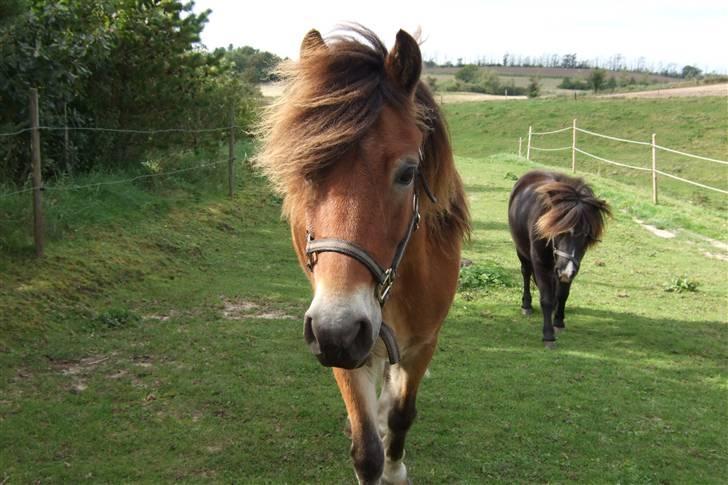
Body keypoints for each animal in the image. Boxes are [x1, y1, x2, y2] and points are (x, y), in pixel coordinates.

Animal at [256, 26, 470, 484]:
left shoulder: (422, 344)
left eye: (408, 173)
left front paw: (396, 466)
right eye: (306, 171)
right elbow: (367, 450)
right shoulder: (340, 344)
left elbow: (402, 416)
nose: (338, 330)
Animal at [510, 169, 612, 344]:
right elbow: (546, 298)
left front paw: (558, 321)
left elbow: (563, 294)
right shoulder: (541, 263)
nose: (566, 271)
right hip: (522, 251)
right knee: (526, 273)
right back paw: (527, 305)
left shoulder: (571, 267)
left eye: (586, 236)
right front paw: (548, 335)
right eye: (559, 231)